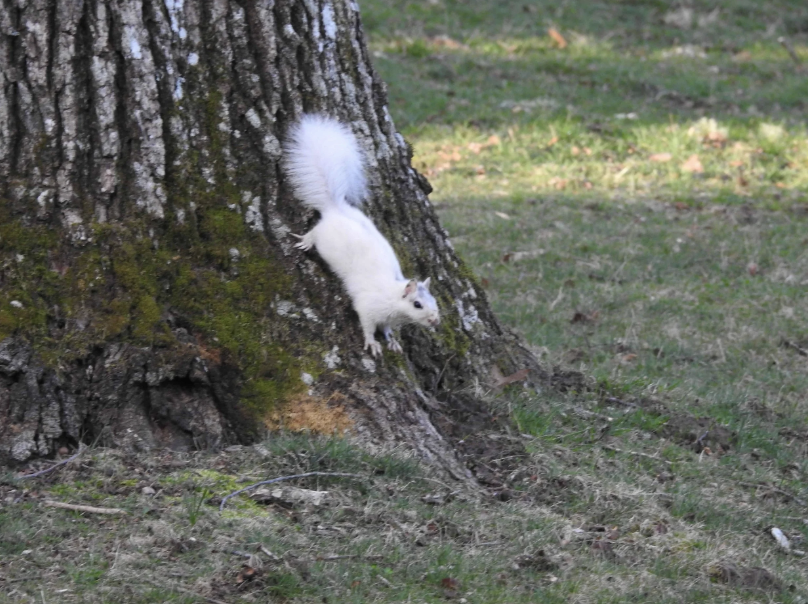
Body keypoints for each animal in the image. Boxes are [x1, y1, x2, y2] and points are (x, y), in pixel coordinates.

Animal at [284, 114, 440, 357]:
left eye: (434, 301)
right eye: (417, 304)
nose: (435, 321)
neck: (392, 300)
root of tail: (335, 209)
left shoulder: (387, 318)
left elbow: (386, 328)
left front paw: (391, 340)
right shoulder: (368, 307)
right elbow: (367, 325)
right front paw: (372, 343)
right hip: (324, 238)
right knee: (315, 231)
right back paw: (305, 241)